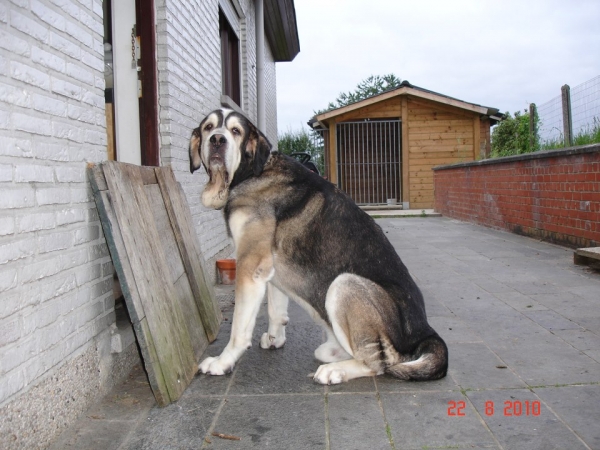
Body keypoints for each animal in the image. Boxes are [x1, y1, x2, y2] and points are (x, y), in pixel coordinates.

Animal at [190, 108, 448, 384]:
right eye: (208, 128)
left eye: (236, 131)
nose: (217, 140)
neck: (251, 172)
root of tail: (424, 331)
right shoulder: (268, 269)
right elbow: (275, 310)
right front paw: (275, 338)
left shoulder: (250, 264)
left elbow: (239, 328)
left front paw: (222, 362)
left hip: (344, 284)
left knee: (378, 364)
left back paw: (336, 371)